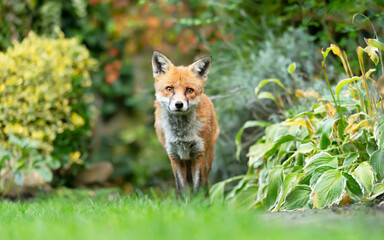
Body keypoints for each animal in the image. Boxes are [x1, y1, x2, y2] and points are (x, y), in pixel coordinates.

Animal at [152, 50, 219, 195]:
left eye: (189, 90)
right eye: (169, 88)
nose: (179, 104)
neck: (181, 134)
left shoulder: (199, 154)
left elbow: (198, 187)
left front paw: (198, 202)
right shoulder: (174, 155)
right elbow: (181, 188)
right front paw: (185, 201)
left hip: (207, 160)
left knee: (206, 183)